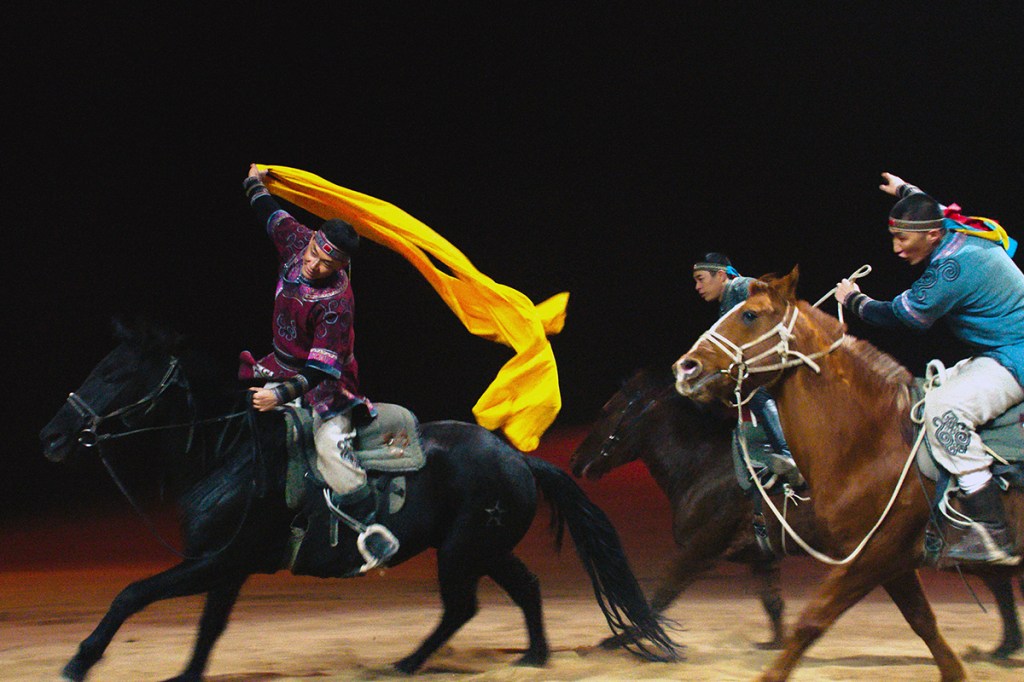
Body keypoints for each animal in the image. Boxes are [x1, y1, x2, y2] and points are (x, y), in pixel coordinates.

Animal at [39, 321, 678, 681]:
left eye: (116, 374)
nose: (51, 437)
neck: (234, 452)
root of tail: (517, 457)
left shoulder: (216, 560)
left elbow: (132, 594)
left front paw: (78, 661)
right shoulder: (226, 568)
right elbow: (209, 629)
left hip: (465, 551)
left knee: (462, 607)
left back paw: (408, 666)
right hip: (484, 548)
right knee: (522, 588)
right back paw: (531, 659)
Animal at [673, 266, 1024, 681]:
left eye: (750, 314)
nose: (686, 367)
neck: (873, 441)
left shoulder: (873, 554)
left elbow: (812, 620)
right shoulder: (892, 563)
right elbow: (923, 622)